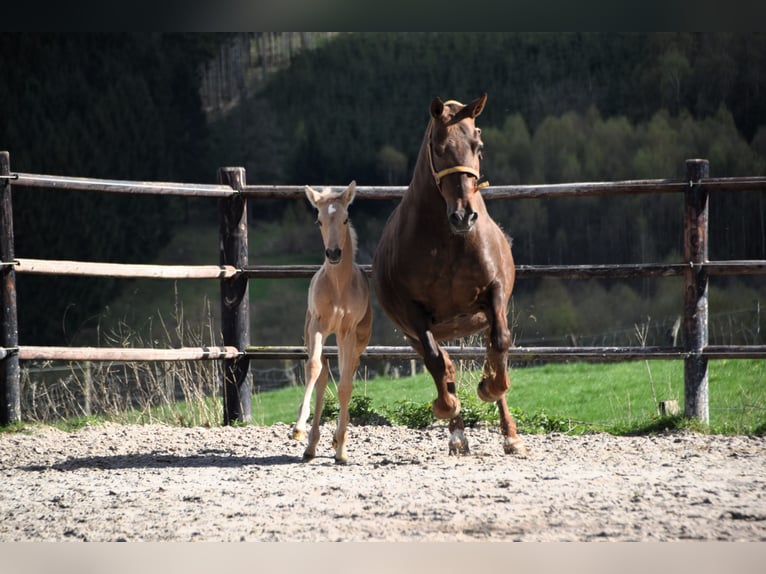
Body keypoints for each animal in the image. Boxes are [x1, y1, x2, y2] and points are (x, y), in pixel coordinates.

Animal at [292, 182, 374, 466]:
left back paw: (338, 443)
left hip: (356, 342)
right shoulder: (317, 327)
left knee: (347, 376)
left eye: (346, 218)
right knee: (322, 375)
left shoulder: (347, 332)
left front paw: (341, 449)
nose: (334, 253)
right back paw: (310, 447)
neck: (338, 286)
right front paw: (298, 428)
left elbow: (346, 386)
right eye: (318, 220)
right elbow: (314, 368)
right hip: (315, 334)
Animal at [376, 94, 532, 460]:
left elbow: (501, 344)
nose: (464, 215)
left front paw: (488, 388)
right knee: (442, 364)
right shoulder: (414, 314)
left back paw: (511, 436)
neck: (450, 240)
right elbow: (437, 364)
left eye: (478, 144)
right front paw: (446, 407)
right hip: (415, 333)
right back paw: (457, 434)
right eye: (437, 146)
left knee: (491, 352)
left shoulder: (494, 294)